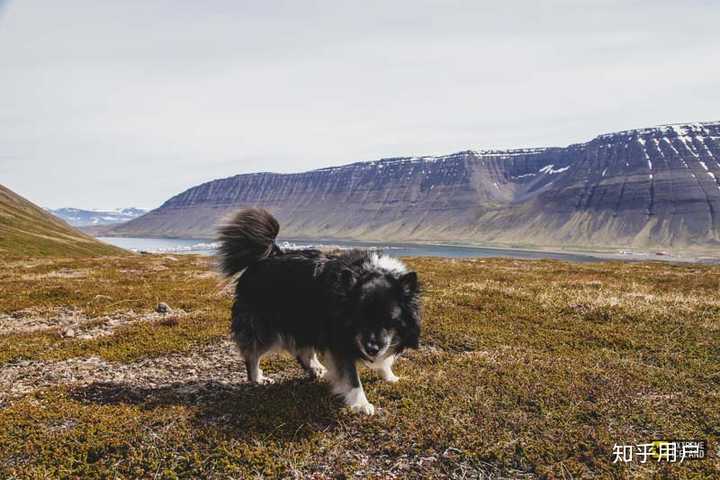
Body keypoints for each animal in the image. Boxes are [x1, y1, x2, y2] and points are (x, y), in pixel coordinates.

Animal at [217, 208, 420, 414]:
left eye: (389, 320)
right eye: (360, 319)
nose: (371, 349)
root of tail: (265, 257)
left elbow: (386, 359)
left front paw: (390, 376)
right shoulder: (340, 340)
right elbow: (351, 377)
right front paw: (362, 404)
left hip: (304, 320)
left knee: (302, 351)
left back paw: (315, 368)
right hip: (266, 326)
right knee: (252, 354)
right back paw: (257, 378)